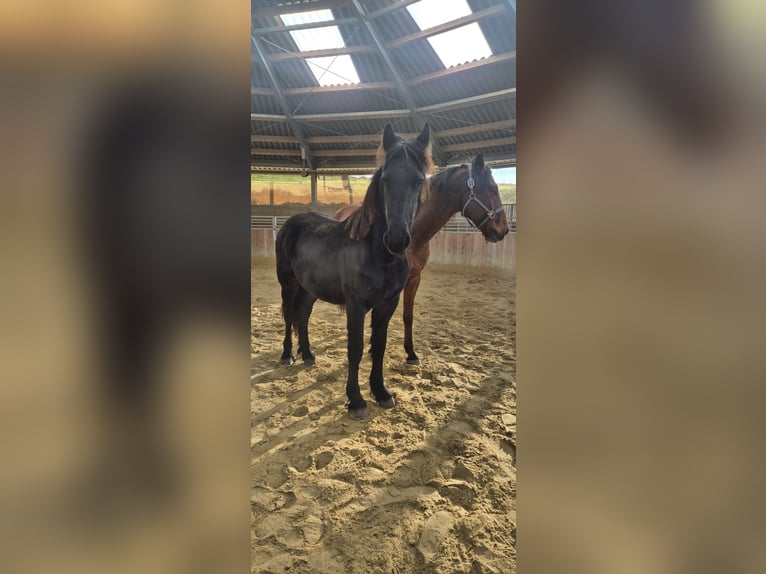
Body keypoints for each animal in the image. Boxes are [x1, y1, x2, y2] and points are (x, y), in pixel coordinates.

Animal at [276, 123, 432, 420]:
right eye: (385, 180)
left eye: (419, 181)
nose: (397, 240)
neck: (377, 255)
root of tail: (291, 222)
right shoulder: (356, 305)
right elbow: (355, 349)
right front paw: (356, 400)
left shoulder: (387, 304)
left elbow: (378, 347)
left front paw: (381, 393)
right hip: (288, 285)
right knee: (290, 316)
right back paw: (288, 355)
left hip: (310, 289)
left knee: (303, 316)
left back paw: (308, 355)